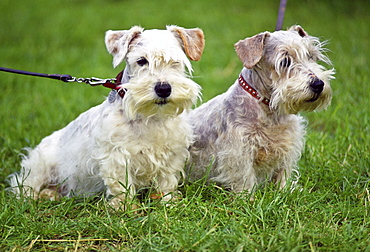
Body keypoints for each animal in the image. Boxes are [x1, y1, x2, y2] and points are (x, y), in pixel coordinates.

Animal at [7, 24, 205, 208]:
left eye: (176, 61)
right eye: (141, 61)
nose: (163, 89)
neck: (149, 117)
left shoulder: (172, 153)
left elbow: (167, 180)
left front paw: (168, 202)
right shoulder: (117, 156)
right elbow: (122, 185)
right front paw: (125, 208)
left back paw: (50, 195)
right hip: (40, 165)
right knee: (23, 184)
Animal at [186, 25, 334, 194]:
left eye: (311, 56)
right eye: (285, 61)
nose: (318, 84)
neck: (268, 108)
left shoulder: (287, 146)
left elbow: (283, 172)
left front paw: (284, 192)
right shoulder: (238, 152)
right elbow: (244, 178)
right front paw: (247, 197)